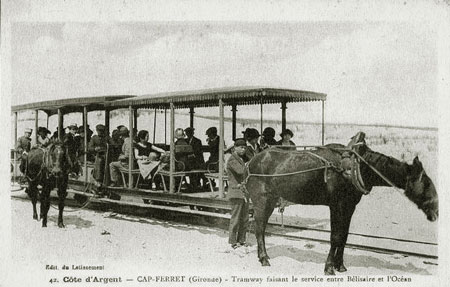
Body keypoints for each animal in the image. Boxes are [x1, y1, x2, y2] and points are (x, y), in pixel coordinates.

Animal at [246, 134, 440, 276]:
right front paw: (329, 267)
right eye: (426, 184)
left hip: (270, 200)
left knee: (261, 227)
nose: (436, 211)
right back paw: (264, 258)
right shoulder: (336, 205)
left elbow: (344, 236)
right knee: (259, 228)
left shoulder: (349, 206)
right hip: (261, 200)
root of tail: (252, 161)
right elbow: (335, 237)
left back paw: (263, 256)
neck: (356, 166)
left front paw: (340, 266)